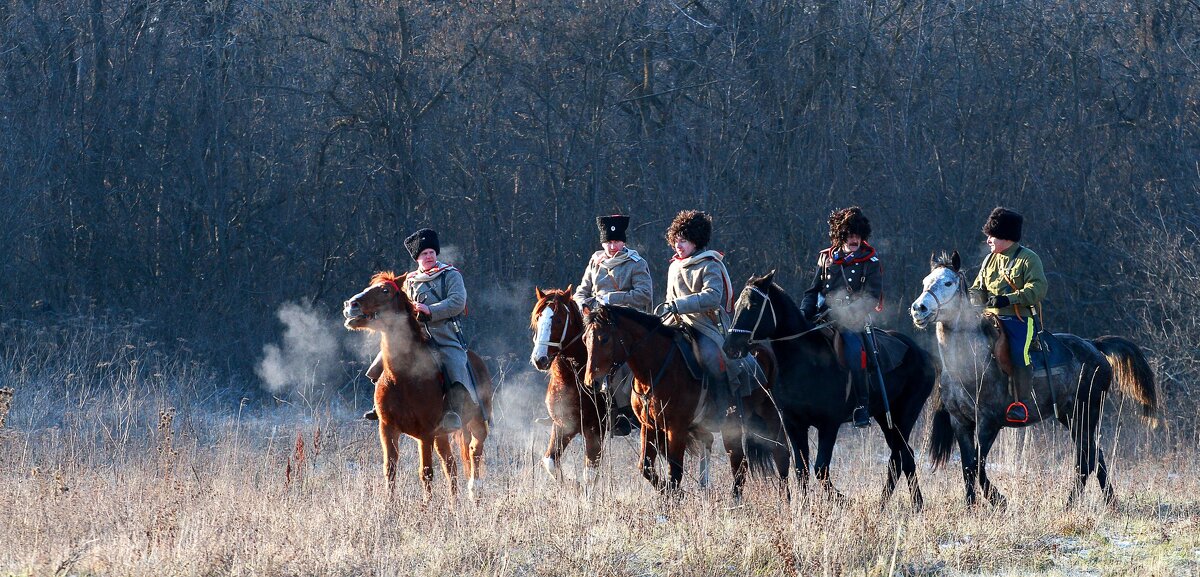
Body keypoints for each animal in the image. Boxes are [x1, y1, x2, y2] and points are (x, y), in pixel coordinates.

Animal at [343, 271, 492, 499]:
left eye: (385, 290)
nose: (350, 305)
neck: (403, 379)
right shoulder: (387, 429)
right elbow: (390, 470)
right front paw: (389, 506)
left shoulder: (426, 433)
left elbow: (426, 473)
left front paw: (426, 507)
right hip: (442, 435)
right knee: (451, 466)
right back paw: (455, 504)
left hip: (475, 424)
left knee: (474, 452)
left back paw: (474, 489)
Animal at [525, 286, 638, 482]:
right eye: (538, 317)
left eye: (559, 319)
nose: (540, 359)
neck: (572, 380)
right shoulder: (563, 426)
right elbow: (550, 462)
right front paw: (571, 485)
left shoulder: (595, 431)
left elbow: (590, 474)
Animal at [580, 303, 787, 496]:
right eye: (584, 339)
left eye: (604, 339)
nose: (592, 382)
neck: (656, 370)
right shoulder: (649, 426)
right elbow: (646, 467)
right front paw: (670, 493)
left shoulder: (676, 429)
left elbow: (675, 472)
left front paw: (674, 498)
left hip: (759, 422)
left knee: (772, 457)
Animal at [720, 272, 936, 506]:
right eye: (737, 304)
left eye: (753, 305)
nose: (730, 347)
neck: (804, 362)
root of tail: (922, 353)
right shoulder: (793, 424)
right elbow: (801, 469)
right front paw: (805, 507)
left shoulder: (829, 425)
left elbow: (820, 469)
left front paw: (844, 500)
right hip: (884, 417)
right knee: (901, 457)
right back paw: (894, 504)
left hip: (904, 416)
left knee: (902, 456)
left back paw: (907, 504)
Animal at [912, 249, 1156, 506]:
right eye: (926, 281)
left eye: (948, 282)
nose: (919, 309)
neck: (970, 363)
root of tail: (1094, 346)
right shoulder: (960, 422)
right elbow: (968, 467)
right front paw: (972, 506)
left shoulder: (989, 423)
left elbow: (978, 466)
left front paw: (1000, 501)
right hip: (1070, 417)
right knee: (1095, 456)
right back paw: (1110, 502)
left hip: (1085, 413)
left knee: (1085, 461)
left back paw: (1070, 504)